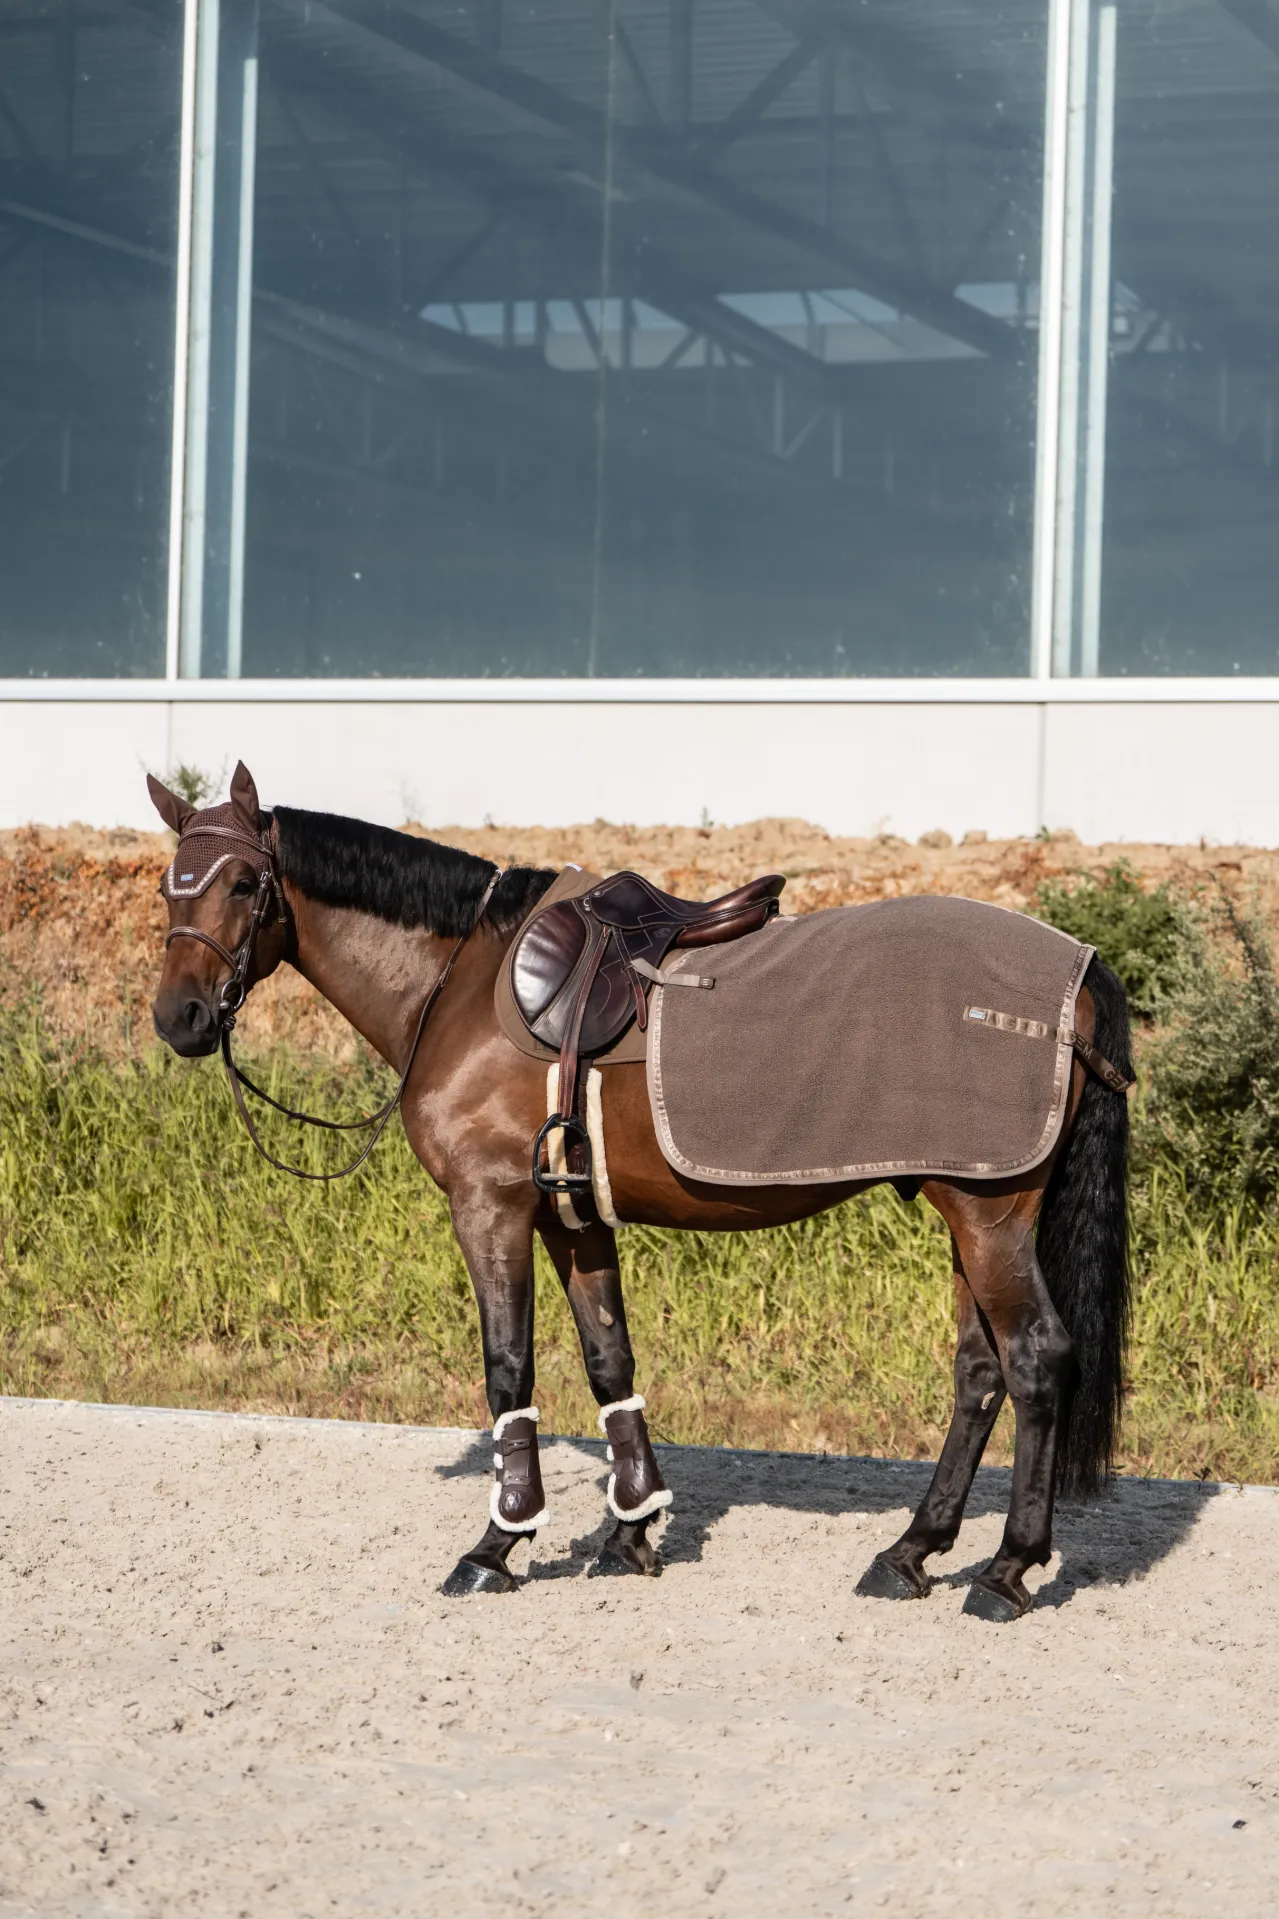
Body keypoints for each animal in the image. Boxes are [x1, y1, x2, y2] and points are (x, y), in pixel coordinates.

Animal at [146, 763, 1132, 1622]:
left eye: (243, 882)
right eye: (168, 887)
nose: (179, 1018)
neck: (462, 977)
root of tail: (1078, 965)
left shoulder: (491, 1206)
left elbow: (508, 1366)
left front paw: (498, 1542)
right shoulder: (570, 1215)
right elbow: (608, 1360)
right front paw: (629, 1528)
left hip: (988, 1216)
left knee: (1034, 1359)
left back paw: (1005, 1570)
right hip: (970, 1211)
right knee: (979, 1372)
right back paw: (909, 1552)